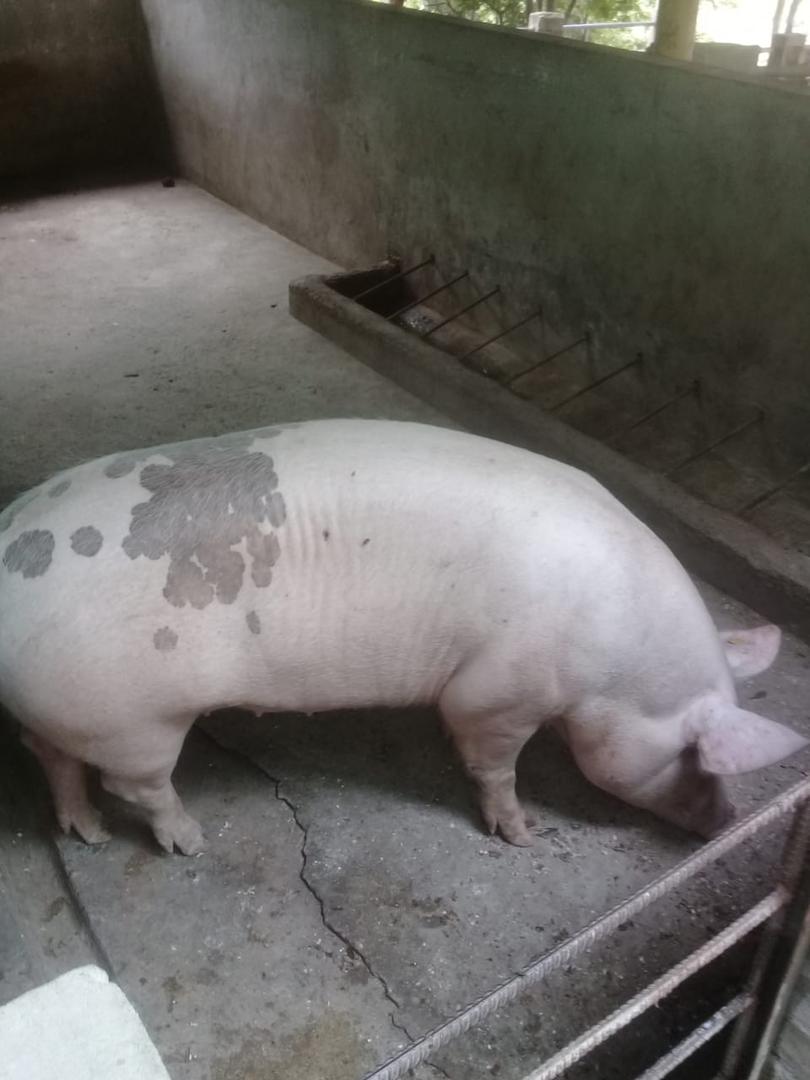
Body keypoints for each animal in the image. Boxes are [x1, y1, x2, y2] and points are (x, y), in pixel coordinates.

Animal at [0, 419, 806, 855]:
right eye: (697, 757)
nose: (728, 822)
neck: (619, 670)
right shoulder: (499, 688)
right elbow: (489, 757)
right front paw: (524, 833)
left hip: (68, 711)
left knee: (53, 758)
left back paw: (87, 835)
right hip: (133, 719)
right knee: (134, 783)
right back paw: (190, 840)